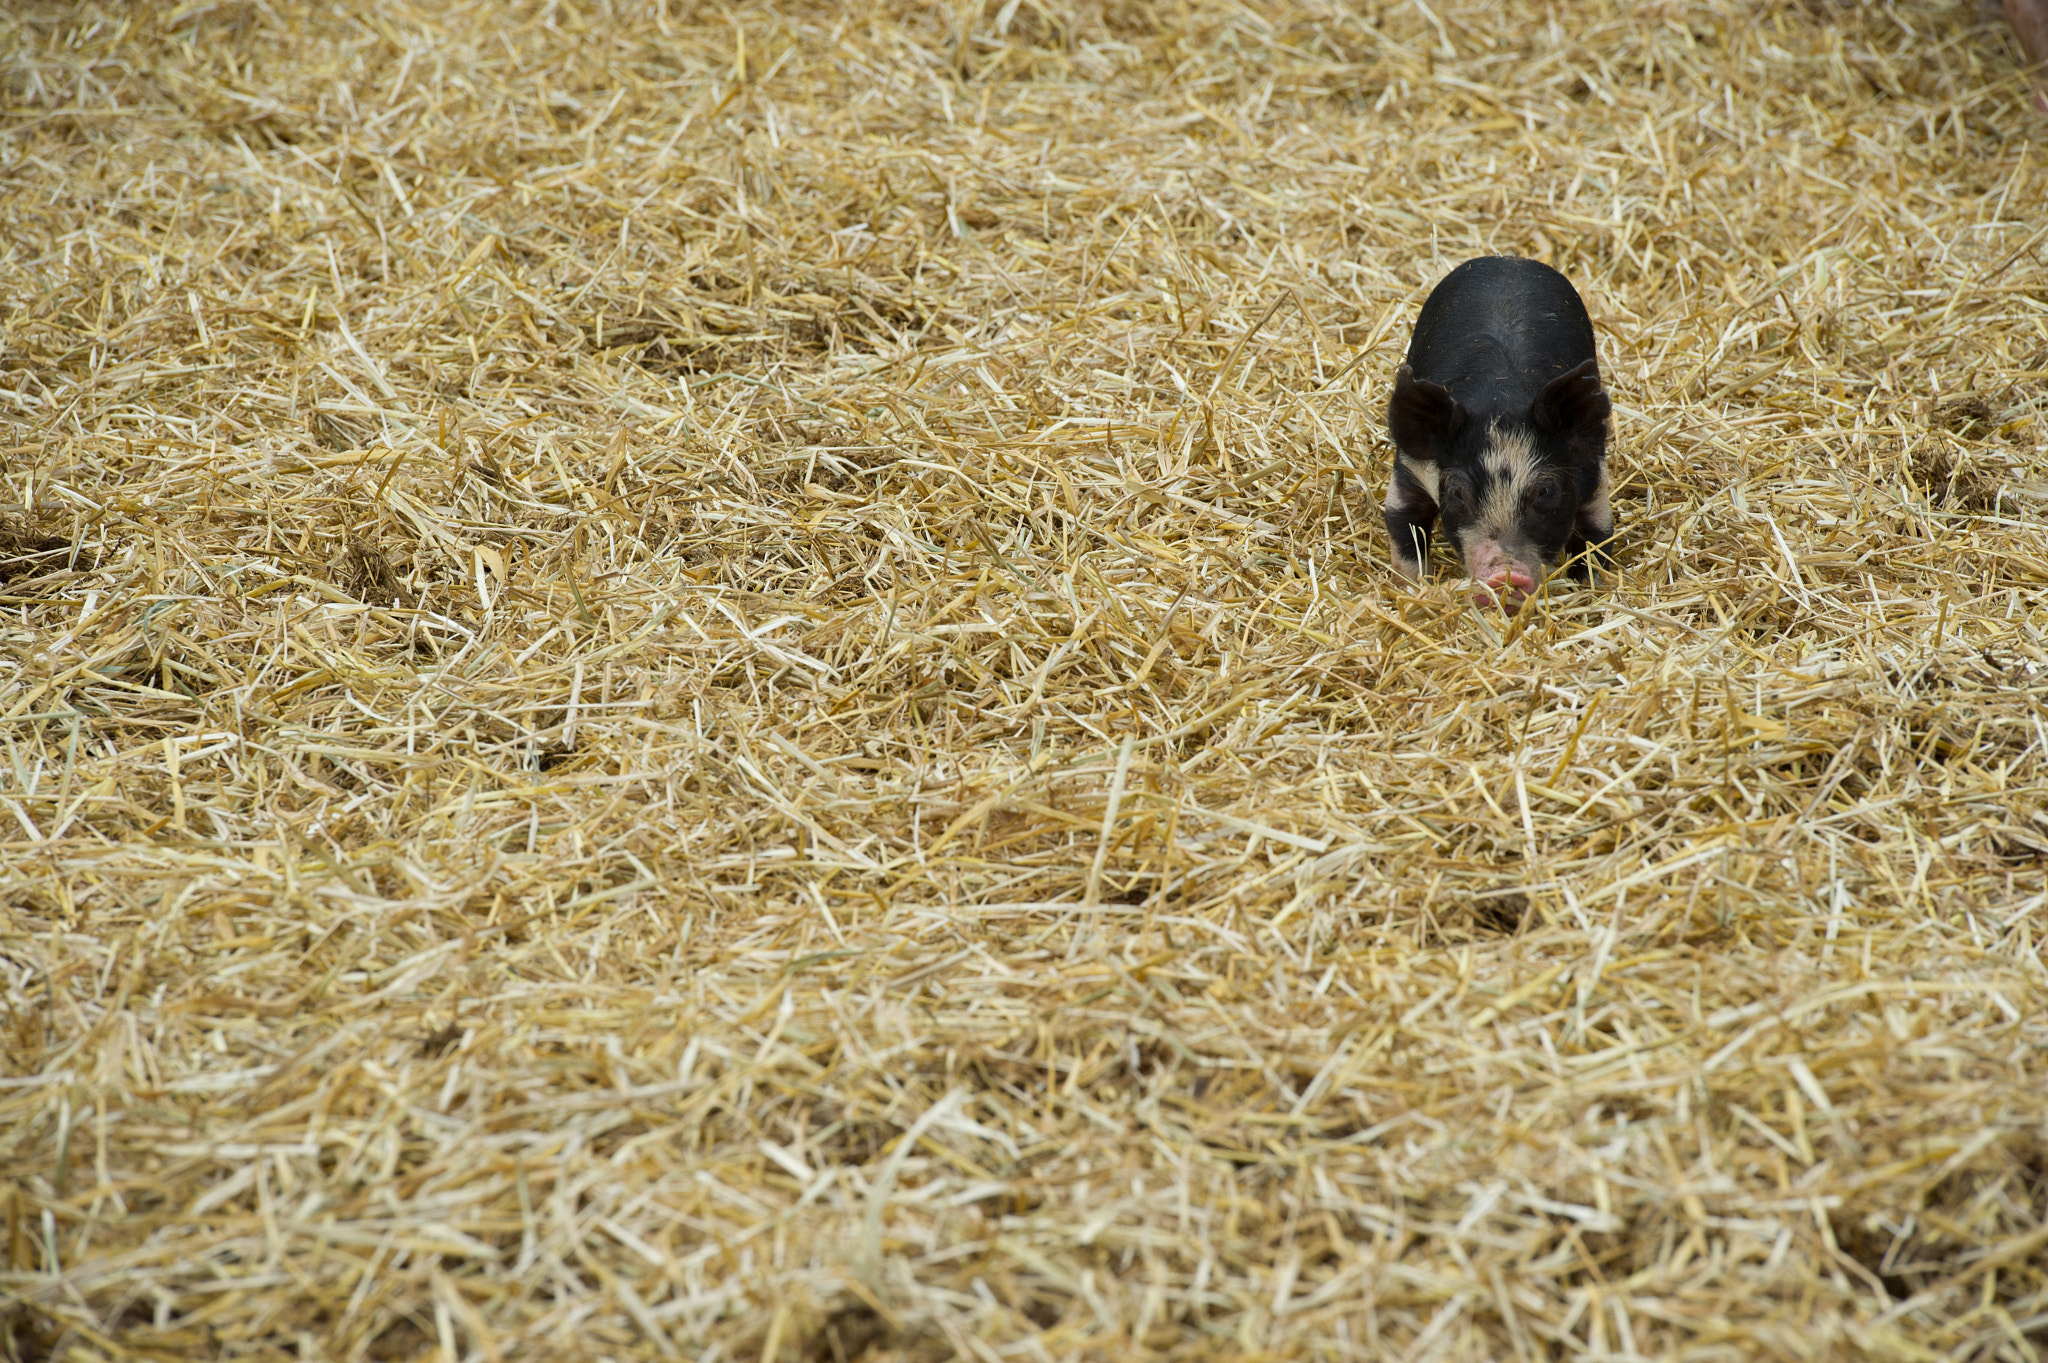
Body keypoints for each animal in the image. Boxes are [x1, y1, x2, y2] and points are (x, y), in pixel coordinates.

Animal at [1382, 256, 1614, 611]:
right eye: (1456, 492)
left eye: (1545, 490)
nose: (1504, 575)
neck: (1501, 401)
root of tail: (1507, 259)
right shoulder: (1409, 470)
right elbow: (1404, 533)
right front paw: (1413, 591)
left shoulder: (1594, 477)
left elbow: (1596, 540)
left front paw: (1590, 591)